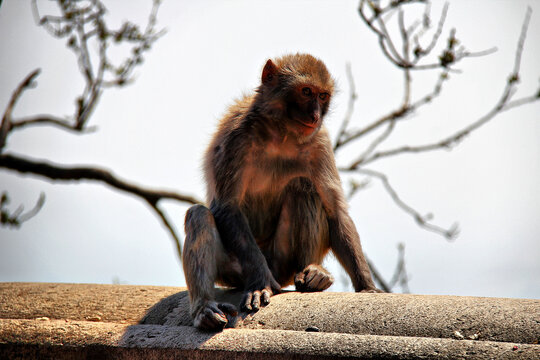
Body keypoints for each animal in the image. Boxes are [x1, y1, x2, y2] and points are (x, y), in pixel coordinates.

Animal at [184, 53, 378, 332]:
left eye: (322, 96)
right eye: (306, 91)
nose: (315, 115)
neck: (281, 133)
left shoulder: (320, 143)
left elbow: (336, 210)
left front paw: (367, 287)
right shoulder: (235, 138)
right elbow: (227, 207)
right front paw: (260, 283)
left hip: (283, 261)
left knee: (304, 190)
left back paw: (312, 273)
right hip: (234, 270)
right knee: (199, 216)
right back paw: (205, 309)